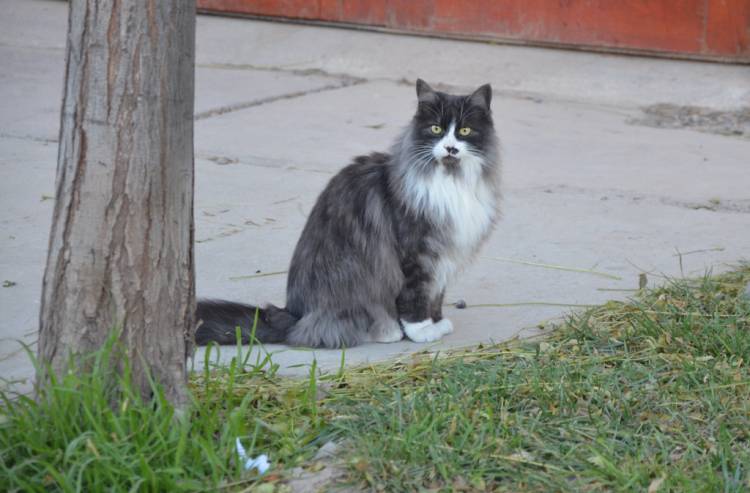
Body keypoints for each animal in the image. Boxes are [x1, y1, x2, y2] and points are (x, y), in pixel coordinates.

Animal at [197, 79, 502, 348]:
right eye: (436, 129)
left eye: (464, 131)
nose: (450, 148)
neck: (452, 180)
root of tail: (294, 316)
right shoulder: (417, 254)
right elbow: (415, 298)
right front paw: (422, 331)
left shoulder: (442, 257)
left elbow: (435, 295)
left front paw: (437, 322)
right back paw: (388, 332)